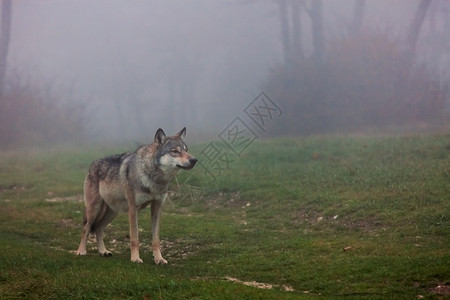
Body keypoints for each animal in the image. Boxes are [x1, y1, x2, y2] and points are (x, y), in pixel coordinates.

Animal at [75, 127, 197, 264]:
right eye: (175, 151)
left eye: (186, 150)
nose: (194, 160)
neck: (154, 178)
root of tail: (92, 164)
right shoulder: (133, 209)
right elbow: (134, 238)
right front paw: (135, 258)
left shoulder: (157, 208)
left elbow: (156, 240)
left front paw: (159, 259)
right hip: (94, 209)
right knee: (86, 228)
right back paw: (81, 251)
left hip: (112, 212)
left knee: (98, 229)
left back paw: (103, 252)